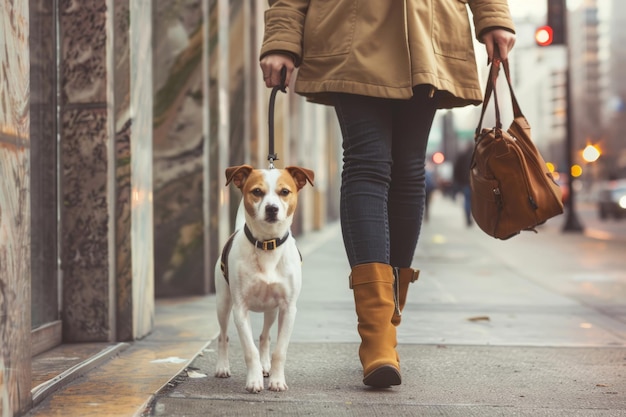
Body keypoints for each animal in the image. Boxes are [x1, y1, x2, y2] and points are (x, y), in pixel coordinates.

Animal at [214, 164, 314, 392]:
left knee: (264, 336)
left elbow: (280, 350)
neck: (268, 245)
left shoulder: (288, 309)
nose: (272, 209)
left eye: (284, 191)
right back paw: (223, 366)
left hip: (271, 310)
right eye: (257, 191)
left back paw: (265, 365)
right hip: (223, 304)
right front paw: (254, 380)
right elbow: (249, 350)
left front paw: (276, 380)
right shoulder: (239, 309)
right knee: (223, 336)